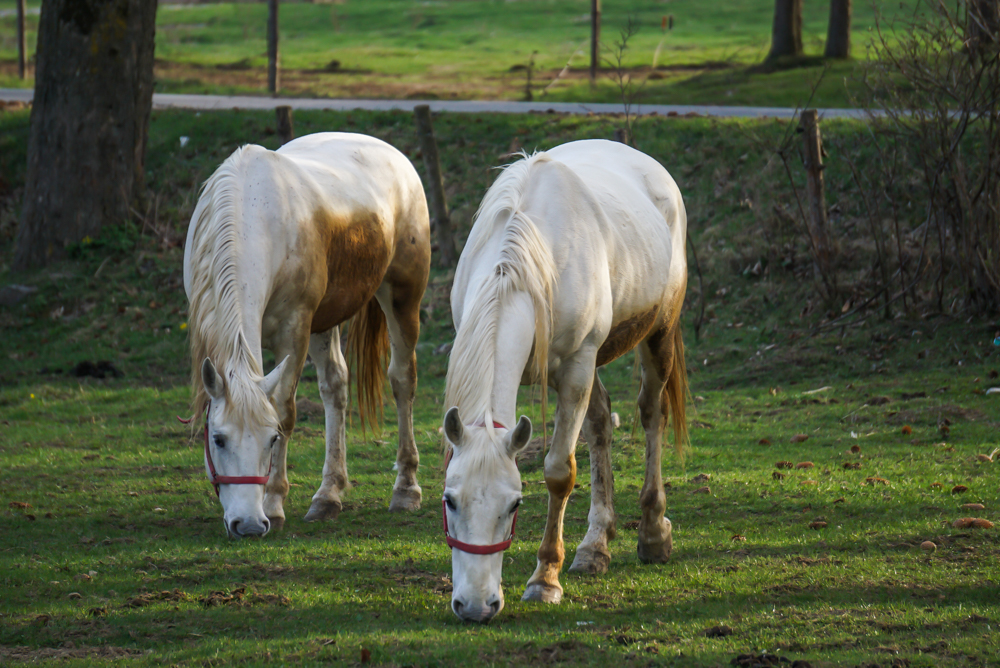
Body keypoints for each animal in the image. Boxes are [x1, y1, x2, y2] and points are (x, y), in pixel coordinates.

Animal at [184, 133, 430, 540]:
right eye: (218, 439)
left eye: (271, 439)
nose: (248, 525)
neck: (249, 216)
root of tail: (392, 153)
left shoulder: (294, 330)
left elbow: (285, 411)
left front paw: (274, 502)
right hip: (325, 321)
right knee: (336, 386)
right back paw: (328, 495)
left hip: (402, 298)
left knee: (402, 380)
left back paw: (405, 489)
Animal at [444, 140, 688, 620]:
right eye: (450, 500)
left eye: (515, 504)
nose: (476, 605)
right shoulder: (570, 371)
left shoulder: (577, 366)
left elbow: (559, 471)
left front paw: (545, 578)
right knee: (600, 425)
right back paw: (596, 545)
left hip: (657, 334)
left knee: (652, 415)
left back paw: (653, 533)